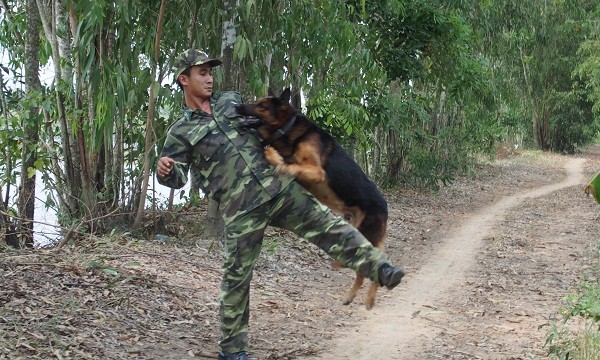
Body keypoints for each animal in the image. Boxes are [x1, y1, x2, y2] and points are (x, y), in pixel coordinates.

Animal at [237, 88, 392, 310]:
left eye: (262, 106)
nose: (237, 106)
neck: (288, 128)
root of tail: (385, 207)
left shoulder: (317, 172)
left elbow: (290, 165)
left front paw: (274, 157)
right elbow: (290, 164)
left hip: (366, 234)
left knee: (372, 265)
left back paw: (368, 297)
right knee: (367, 268)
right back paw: (354, 296)